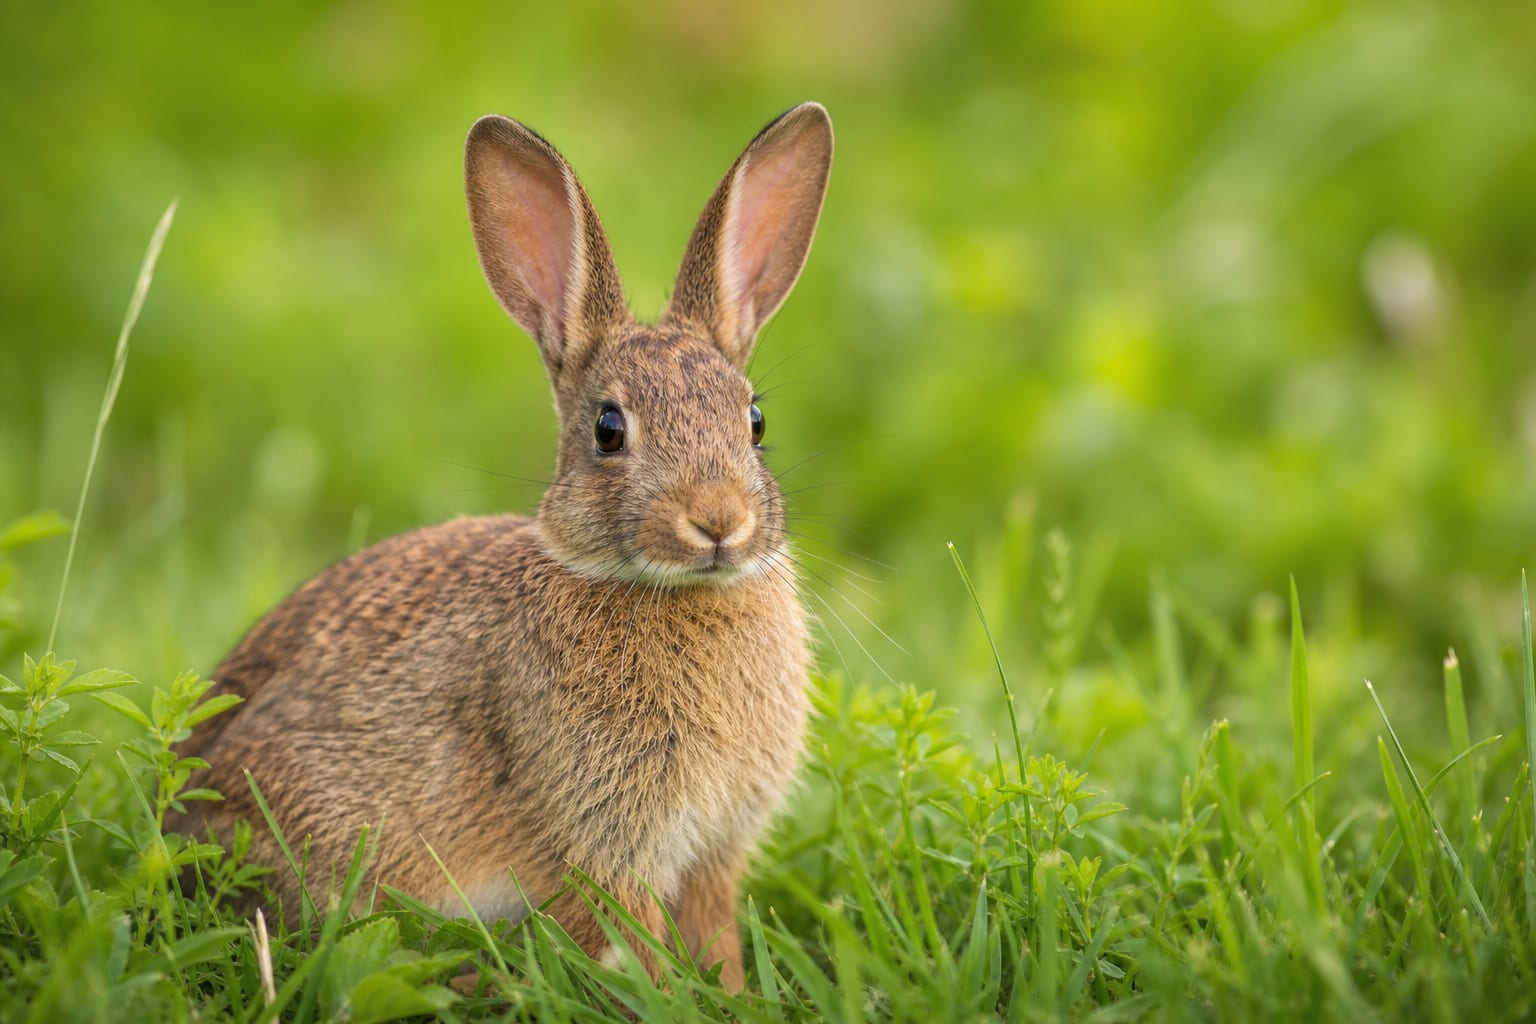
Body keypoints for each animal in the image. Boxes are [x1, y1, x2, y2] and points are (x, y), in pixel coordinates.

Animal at [172, 102, 834, 991]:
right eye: (609, 429)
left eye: (754, 421)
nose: (719, 521)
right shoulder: (607, 842)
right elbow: (634, 940)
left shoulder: (713, 853)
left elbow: (715, 935)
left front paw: (730, 993)